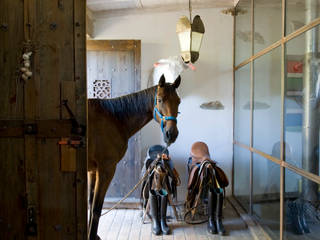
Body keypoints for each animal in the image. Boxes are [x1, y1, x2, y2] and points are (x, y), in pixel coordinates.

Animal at [87, 75, 181, 240]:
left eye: (178, 101)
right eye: (160, 99)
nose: (172, 134)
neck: (114, 119)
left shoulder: (93, 171)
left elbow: (91, 204)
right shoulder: (105, 170)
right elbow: (96, 208)